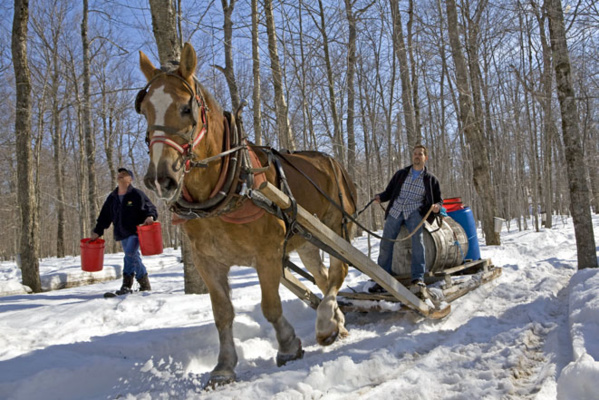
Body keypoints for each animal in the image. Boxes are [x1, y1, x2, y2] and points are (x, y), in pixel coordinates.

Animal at [136, 42, 356, 386]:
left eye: (186, 108)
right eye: (144, 109)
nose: (161, 178)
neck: (228, 189)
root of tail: (333, 162)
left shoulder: (267, 254)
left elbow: (270, 306)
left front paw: (288, 346)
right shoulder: (207, 262)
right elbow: (223, 314)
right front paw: (224, 366)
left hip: (337, 229)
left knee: (339, 272)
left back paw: (325, 324)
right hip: (307, 241)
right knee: (322, 279)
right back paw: (338, 323)